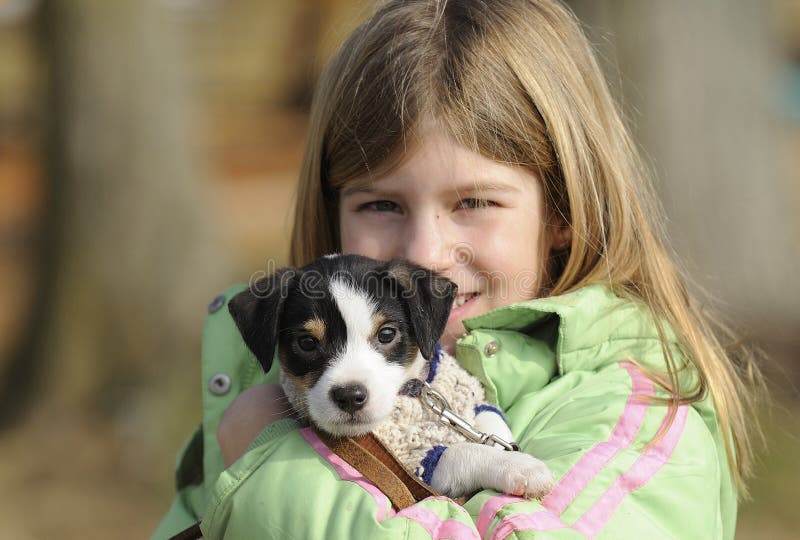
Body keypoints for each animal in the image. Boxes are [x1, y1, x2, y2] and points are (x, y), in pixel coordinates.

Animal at [228, 255, 552, 500]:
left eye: (386, 334)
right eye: (307, 343)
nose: (349, 396)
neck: (412, 394)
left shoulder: (466, 399)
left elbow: (489, 423)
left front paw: (513, 452)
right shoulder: (417, 465)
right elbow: (464, 452)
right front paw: (518, 466)